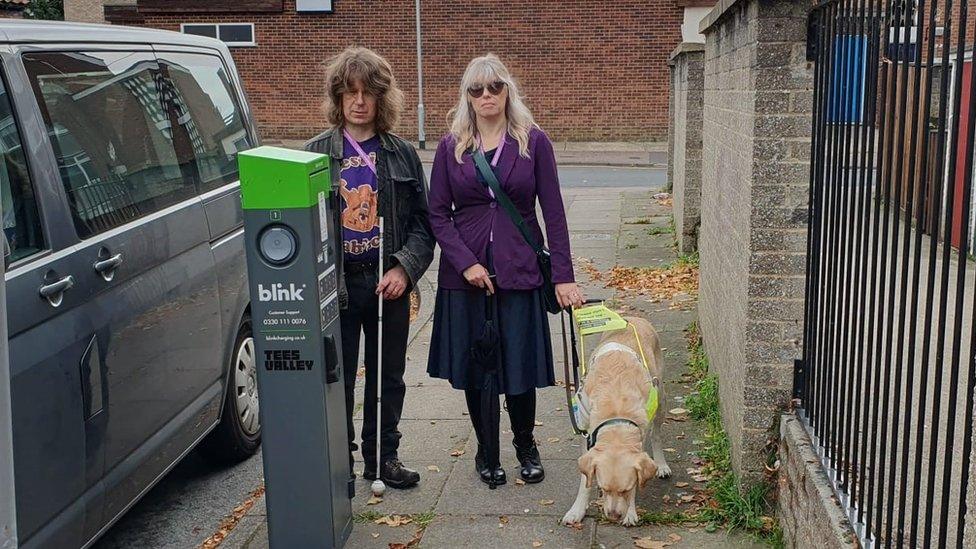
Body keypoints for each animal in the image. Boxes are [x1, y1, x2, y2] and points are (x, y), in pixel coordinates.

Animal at [560, 312, 668, 528]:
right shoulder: (586, 435)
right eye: (603, 488)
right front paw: (577, 510)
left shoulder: (640, 435)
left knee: (657, 434)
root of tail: (634, 317)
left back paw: (661, 465)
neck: (616, 411)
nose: (613, 516)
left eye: (625, 490)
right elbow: (584, 482)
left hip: (660, 397)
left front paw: (630, 513)